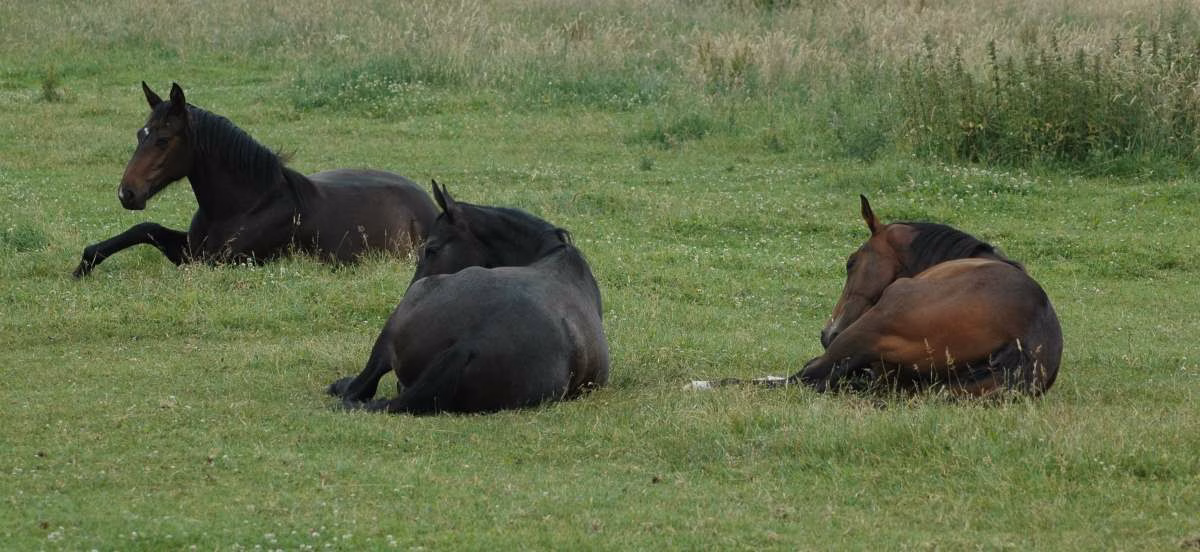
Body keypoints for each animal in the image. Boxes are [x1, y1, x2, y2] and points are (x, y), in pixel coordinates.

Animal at [72, 82, 436, 277]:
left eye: (163, 140)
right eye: (140, 134)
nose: (127, 193)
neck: (246, 205)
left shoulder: (217, 262)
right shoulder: (191, 249)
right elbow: (145, 229)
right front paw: (83, 267)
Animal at [689, 195, 1062, 397]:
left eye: (851, 262)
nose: (827, 332)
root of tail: (1021, 346)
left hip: (865, 330)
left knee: (803, 377)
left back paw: (699, 384)